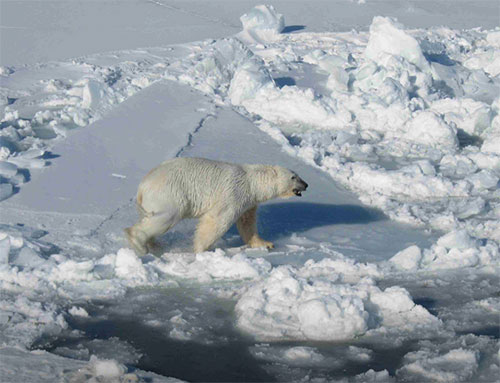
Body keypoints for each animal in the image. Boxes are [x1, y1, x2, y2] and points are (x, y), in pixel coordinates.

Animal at [124, 158, 308, 256]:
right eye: (294, 177)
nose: (306, 184)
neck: (252, 181)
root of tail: (142, 187)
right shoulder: (234, 193)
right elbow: (218, 219)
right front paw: (201, 250)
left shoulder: (248, 202)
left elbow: (247, 223)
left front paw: (266, 243)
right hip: (170, 193)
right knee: (167, 216)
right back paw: (139, 242)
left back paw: (155, 246)